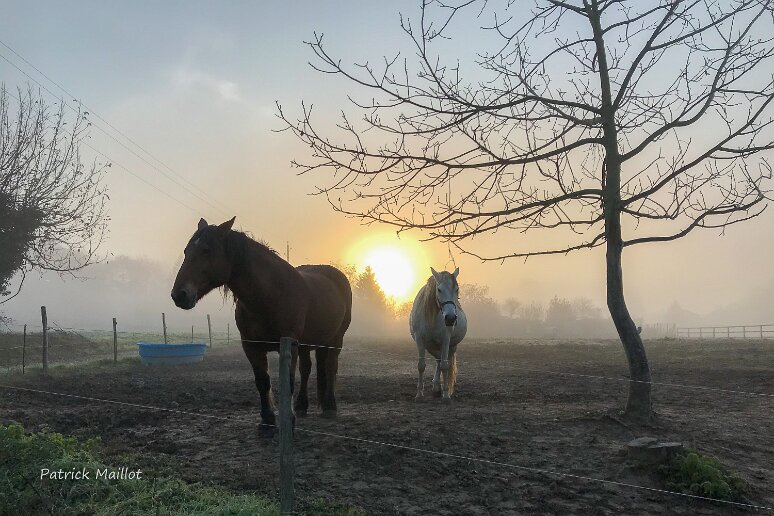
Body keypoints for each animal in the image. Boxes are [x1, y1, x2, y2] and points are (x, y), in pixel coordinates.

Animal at [171, 217, 352, 436]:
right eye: (186, 251)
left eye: (206, 250)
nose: (179, 295)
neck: (269, 295)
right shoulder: (251, 346)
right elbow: (262, 381)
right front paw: (267, 421)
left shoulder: (289, 345)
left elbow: (288, 381)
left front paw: (288, 421)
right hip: (308, 344)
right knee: (307, 369)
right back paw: (301, 406)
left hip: (335, 339)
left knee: (330, 366)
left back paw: (330, 407)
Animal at [409, 267, 467, 401]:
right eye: (439, 289)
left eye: (456, 289)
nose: (450, 318)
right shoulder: (420, 340)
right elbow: (421, 365)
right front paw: (419, 394)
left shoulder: (445, 340)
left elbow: (444, 366)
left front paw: (446, 395)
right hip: (431, 346)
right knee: (438, 360)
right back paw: (436, 387)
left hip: (451, 346)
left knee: (443, 362)